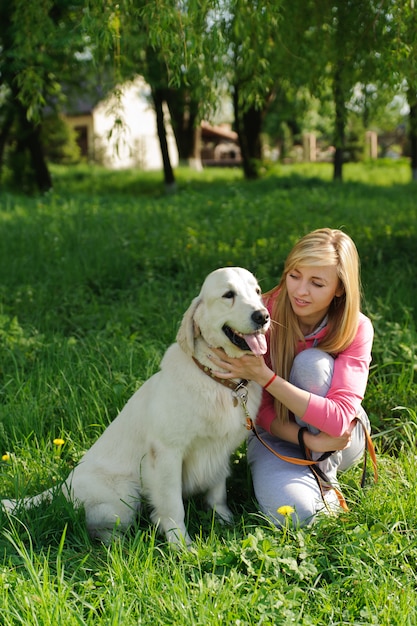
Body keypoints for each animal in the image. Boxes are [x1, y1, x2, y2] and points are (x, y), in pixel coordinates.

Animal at [2, 266, 270, 544]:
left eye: (257, 291)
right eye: (228, 295)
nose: (262, 316)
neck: (219, 381)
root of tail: (63, 485)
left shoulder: (218, 452)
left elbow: (217, 493)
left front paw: (224, 521)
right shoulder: (167, 454)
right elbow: (173, 506)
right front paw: (180, 544)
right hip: (124, 495)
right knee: (97, 528)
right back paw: (122, 543)